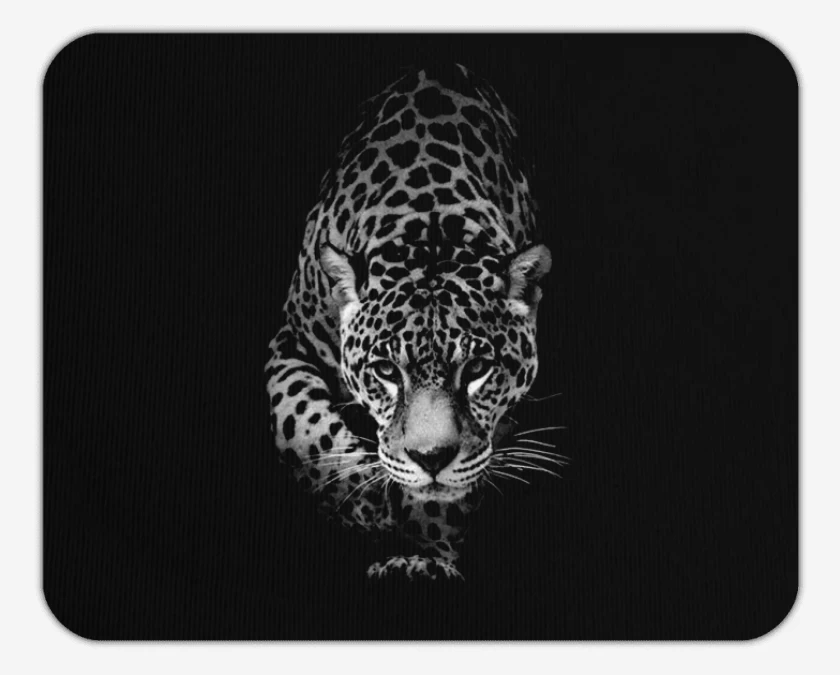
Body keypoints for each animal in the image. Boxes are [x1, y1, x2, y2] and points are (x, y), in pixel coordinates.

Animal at [265, 64, 556, 580]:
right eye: (385, 371)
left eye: (477, 369)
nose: (431, 458)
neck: (430, 225)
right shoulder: (289, 342)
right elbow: (300, 424)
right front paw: (364, 504)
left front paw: (423, 552)